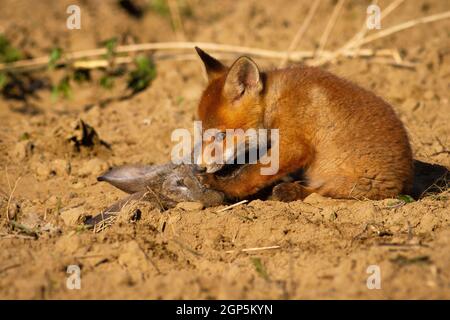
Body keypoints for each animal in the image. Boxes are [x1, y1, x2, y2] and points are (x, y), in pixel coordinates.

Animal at [192, 47, 412, 200]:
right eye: (201, 132)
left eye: (222, 135)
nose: (198, 167)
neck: (275, 102)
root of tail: (404, 182)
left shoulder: (293, 146)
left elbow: (249, 175)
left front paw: (221, 185)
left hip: (339, 179)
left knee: (318, 192)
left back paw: (288, 191)